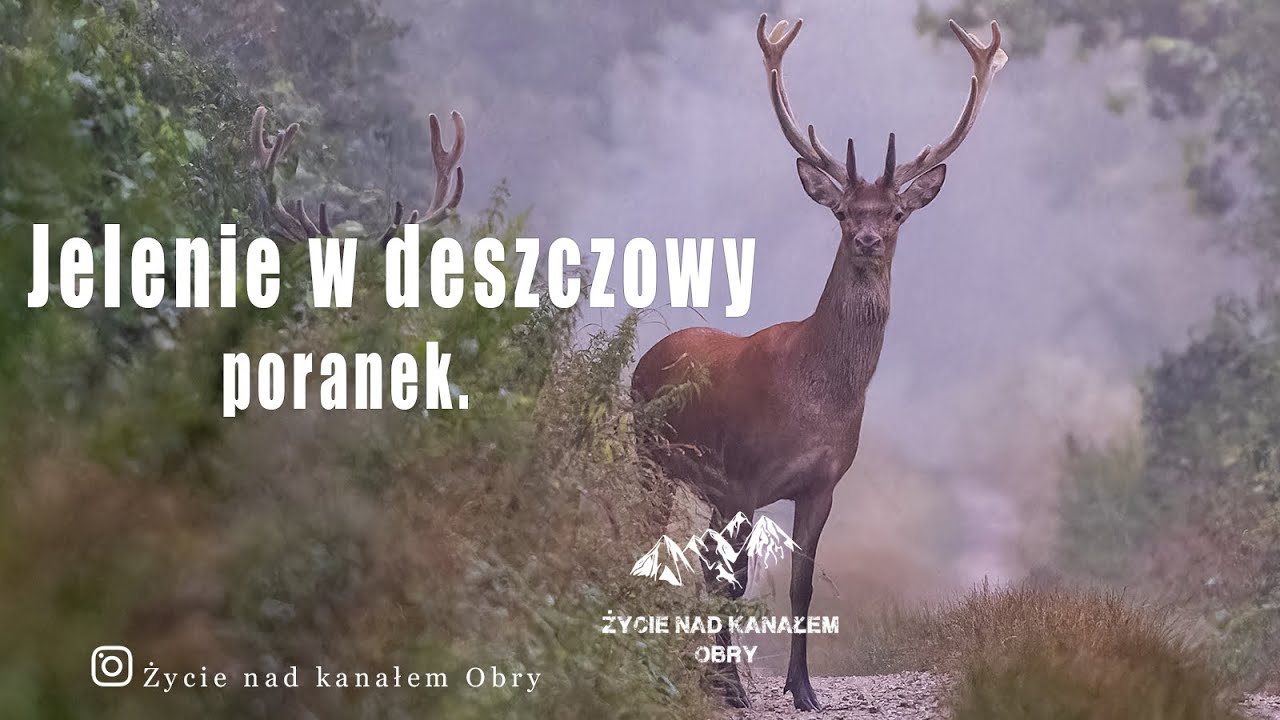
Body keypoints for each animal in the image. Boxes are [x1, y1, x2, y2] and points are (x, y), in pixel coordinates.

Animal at [631, 14, 1006, 711]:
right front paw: (734, 688)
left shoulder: (824, 483)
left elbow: (800, 585)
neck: (816, 398)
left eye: (896, 212)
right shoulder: (744, 477)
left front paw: (801, 689)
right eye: (841, 211)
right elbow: (735, 581)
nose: (867, 238)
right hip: (653, 454)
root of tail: (646, 356)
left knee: (698, 561)